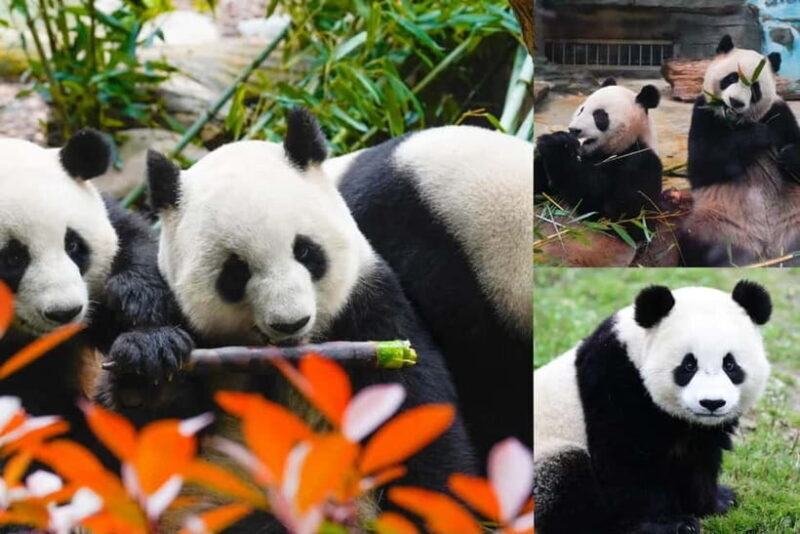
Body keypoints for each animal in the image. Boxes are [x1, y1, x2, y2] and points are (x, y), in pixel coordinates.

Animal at [99, 109, 478, 530]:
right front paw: (148, 364)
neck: (290, 360)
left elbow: (416, 423)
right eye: (235, 273)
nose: (290, 323)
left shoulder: (372, 309)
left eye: (307, 251)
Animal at [533, 280, 772, 534]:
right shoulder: (612, 384)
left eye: (730, 364)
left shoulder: (701, 430)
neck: (633, 350)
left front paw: (717, 502)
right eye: (688, 365)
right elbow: (626, 462)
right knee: (565, 478)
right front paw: (668, 523)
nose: (712, 403)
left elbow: (700, 458)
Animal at [534, 79, 663, 237]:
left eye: (600, 116)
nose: (574, 130)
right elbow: (539, 191)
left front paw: (557, 145)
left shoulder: (641, 163)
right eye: (581, 110)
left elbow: (625, 218)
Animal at [680, 35, 800, 266]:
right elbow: (703, 165)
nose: (735, 102)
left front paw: (788, 155)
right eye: (731, 78)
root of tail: (766, 249)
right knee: (695, 240)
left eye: (754, 88)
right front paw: (759, 135)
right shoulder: (703, 113)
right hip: (719, 223)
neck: (737, 122)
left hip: (795, 217)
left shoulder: (780, 113)